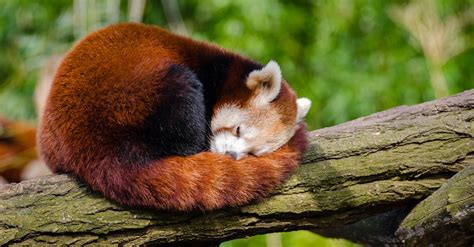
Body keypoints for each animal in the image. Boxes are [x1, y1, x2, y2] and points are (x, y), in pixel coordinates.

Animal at [37, 23, 312, 211]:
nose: (231, 155)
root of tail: (92, 146)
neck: (225, 74)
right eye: (238, 130)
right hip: (133, 93)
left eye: (254, 153)